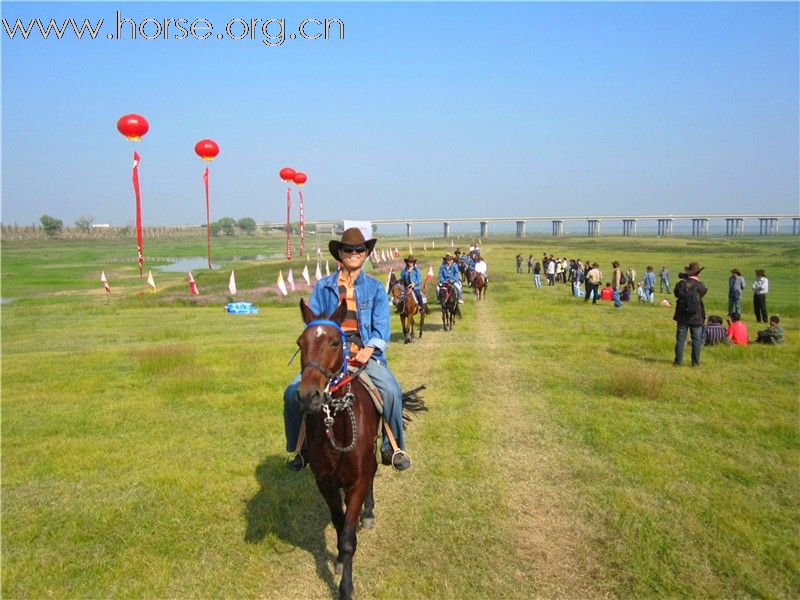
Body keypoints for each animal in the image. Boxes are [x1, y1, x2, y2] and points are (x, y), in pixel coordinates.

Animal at [296, 298, 424, 600]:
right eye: (300, 343)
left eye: (334, 342)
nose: (308, 396)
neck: (338, 423)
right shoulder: (325, 482)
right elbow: (339, 523)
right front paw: (340, 562)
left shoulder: (359, 478)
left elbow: (348, 538)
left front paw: (345, 587)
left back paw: (369, 512)